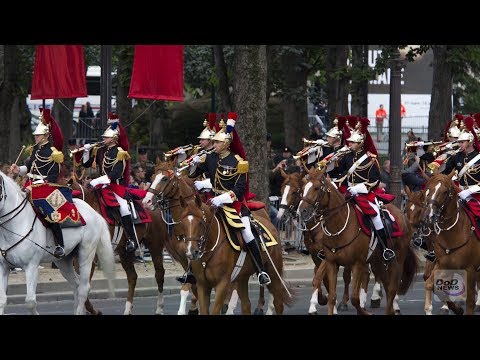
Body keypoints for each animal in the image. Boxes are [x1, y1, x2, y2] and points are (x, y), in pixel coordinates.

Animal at [0, 172, 115, 316]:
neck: (17, 224)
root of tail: (95, 213)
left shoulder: (31, 266)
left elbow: (30, 302)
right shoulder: (3, 267)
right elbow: (2, 300)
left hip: (86, 254)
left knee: (83, 288)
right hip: (64, 261)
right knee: (76, 285)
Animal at [70, 180, 170, 316]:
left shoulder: (91, 256)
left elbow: (83, 284)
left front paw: (92, 310)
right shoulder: (78, 257)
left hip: (155, 246)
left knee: (159, 274)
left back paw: (159, 307)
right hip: (125, 252)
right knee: (132, 277)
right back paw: (128, 309)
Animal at [298, 167, 418, 314]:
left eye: (316, 188)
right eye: (302, 188)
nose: (302, 211)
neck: (339, 225)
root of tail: (402, 215)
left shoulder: (357, 263)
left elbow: (354, 297)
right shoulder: (331, 262)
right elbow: (330, 294)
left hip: (397, 260)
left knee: (392, 287)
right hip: (378, 261)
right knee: (384, 282)